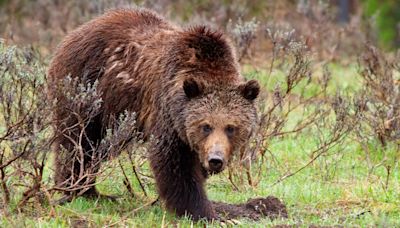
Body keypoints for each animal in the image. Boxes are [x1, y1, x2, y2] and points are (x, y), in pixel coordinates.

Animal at [47, 8, 260, 220]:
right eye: (205, 126)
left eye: (231, 127)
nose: (215, 159)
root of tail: (73, 34)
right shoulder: (167, 113)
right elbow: (174, 164)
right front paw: (202, 212)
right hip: (87, 90)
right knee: (78, 142)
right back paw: (80, 190)